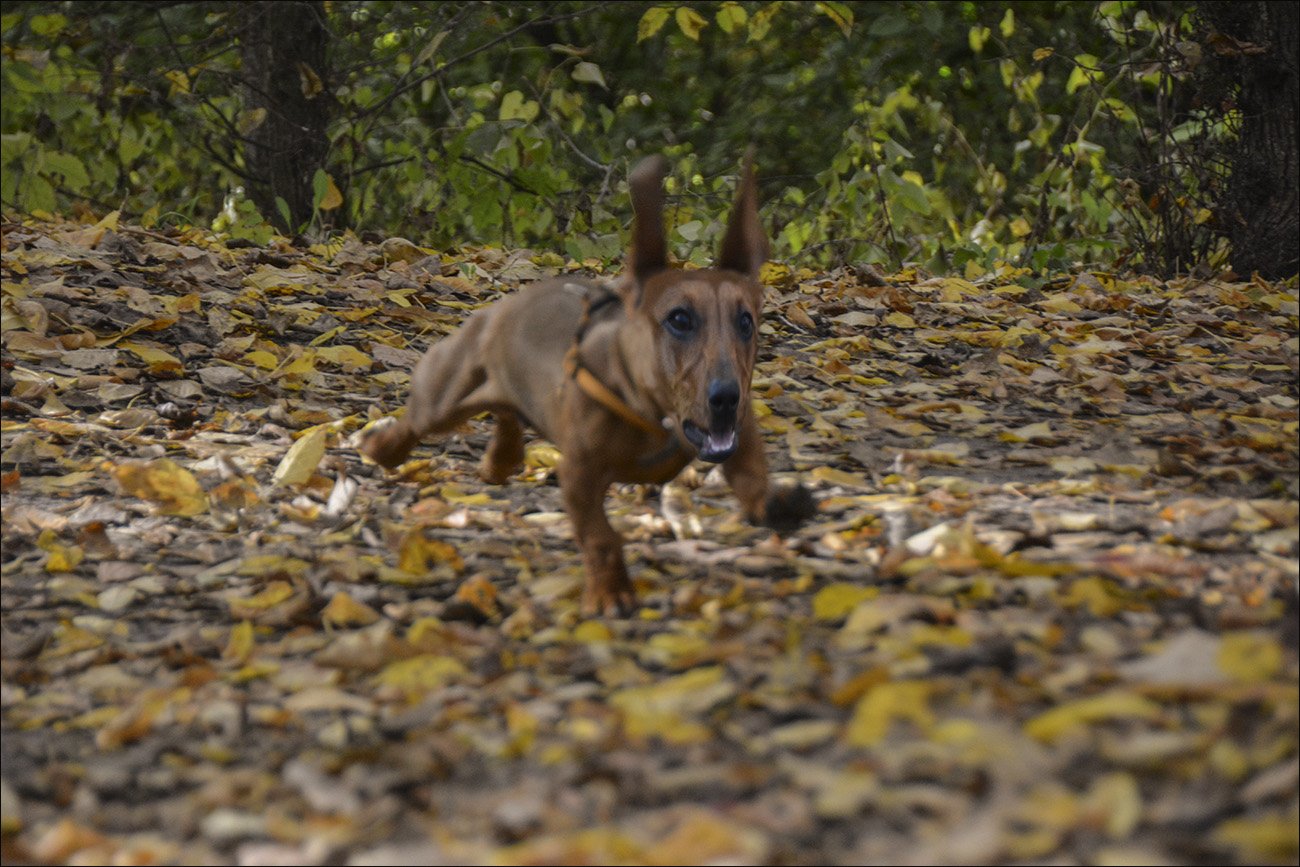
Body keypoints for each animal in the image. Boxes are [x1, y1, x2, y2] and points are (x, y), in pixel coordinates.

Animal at [361, 155, 811, 616]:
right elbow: (601, 537)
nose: (725, 398)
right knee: (417, 422)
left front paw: (777, 504)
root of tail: (504, 307)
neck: (657, 414)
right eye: (680, 319)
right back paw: (383, 447)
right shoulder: (578, 473)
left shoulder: (740, 431)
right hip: (444, 393)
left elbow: (752, 477)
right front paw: (610, 593)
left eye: (746, 322)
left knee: (507, 414)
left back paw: (500, 459)